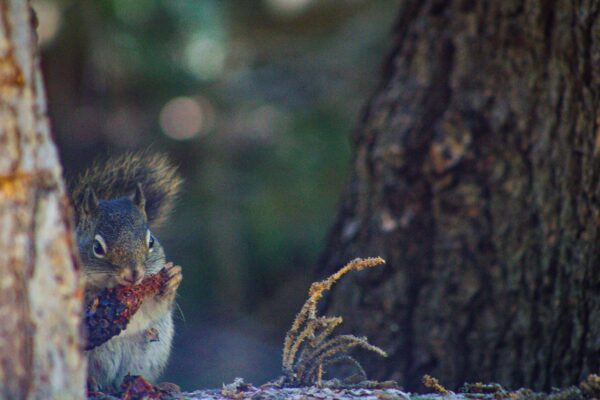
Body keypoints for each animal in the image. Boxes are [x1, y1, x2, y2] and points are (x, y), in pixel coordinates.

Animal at [70, 152, 183, 392]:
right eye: (97, 247)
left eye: (151, 241)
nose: (134, 274)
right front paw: (94, 300)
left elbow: (155, 308)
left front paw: (172, 279)